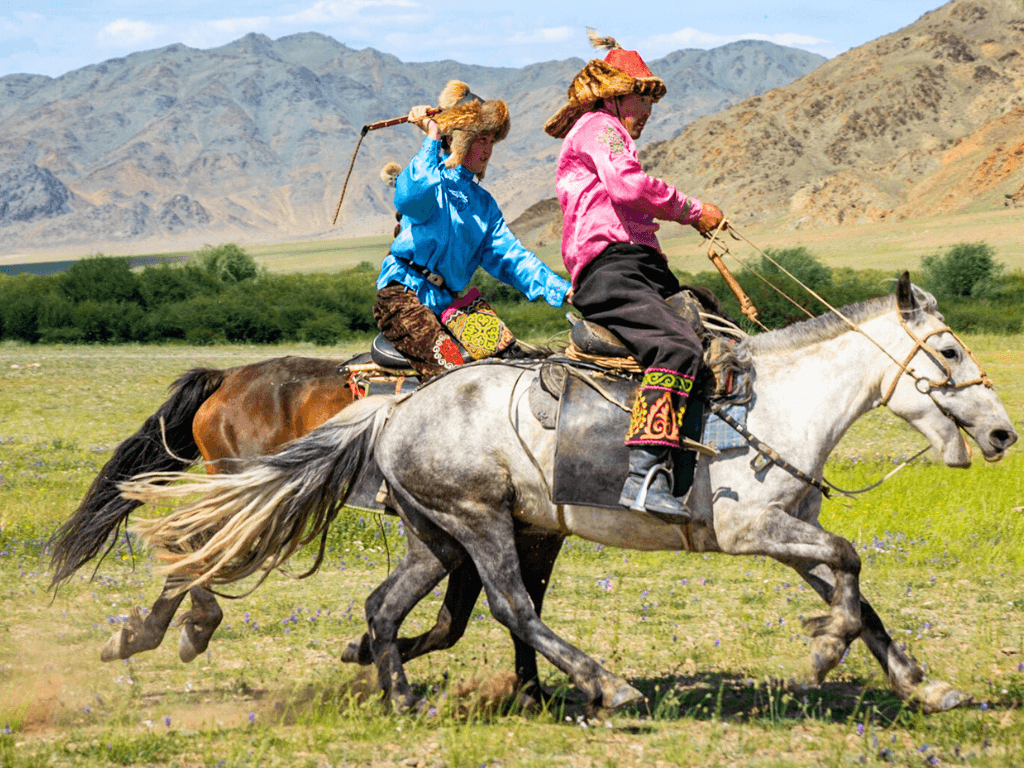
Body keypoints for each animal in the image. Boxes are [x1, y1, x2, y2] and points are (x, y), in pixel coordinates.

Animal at [122, 274, 1017, 716]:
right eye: (946, 350)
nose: (1005, 434)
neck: (781, 403)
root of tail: (396, 408)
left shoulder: (787, 532)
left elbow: (855, 590)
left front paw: (922, 682)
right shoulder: (750, 530)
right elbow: (852, 563)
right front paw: (828, 651)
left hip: (433, 534)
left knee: (387, 605)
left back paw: (399, 693)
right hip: (477, 521)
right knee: (509, 607)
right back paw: (603, 683)